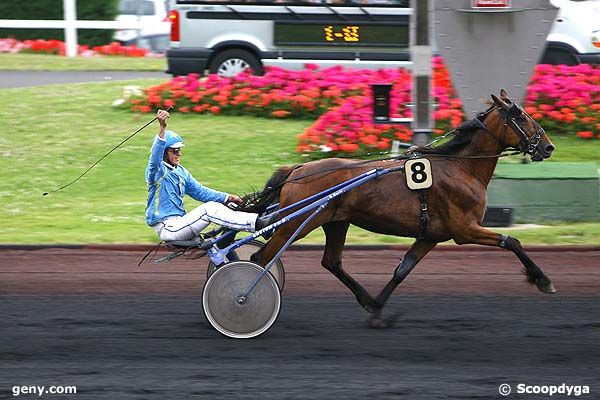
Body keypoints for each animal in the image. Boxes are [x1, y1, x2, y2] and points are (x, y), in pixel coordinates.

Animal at [241, 91, 556, 328]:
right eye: (521, 117)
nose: (549, 147)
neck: (461, 167)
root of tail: (297, 169)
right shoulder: (465, 230)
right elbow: (512, 242)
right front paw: (543, 280)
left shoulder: (431, 236)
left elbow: (403, 269)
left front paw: (378, 309)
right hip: (297, 224)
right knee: (260, 258)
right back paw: (247, 298)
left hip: (335, 221)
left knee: (331, 262)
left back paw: (366, 298)